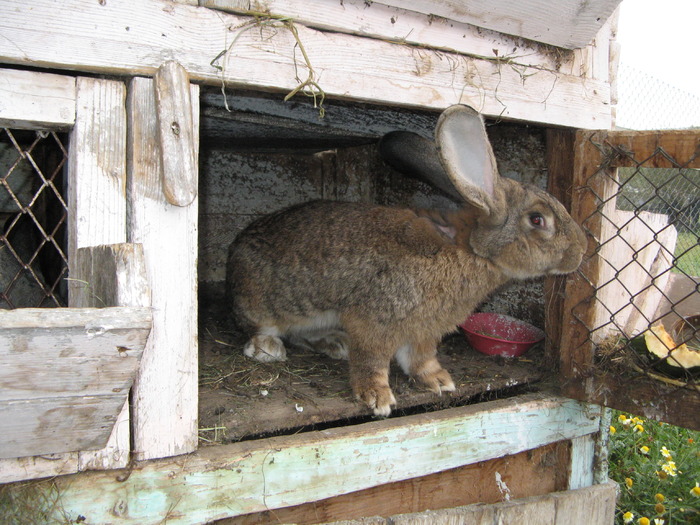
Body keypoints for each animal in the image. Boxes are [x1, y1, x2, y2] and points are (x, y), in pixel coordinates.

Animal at [226, 104, 584, 416]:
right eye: (537, 220)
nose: (580, 252)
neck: (468, 250)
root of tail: (233, 258)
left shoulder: (424, 332)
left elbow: (420, 359)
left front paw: (439, 381)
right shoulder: (374, 322)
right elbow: (371, 361)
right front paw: (377, 398)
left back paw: (335, 344)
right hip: (265, 304)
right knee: (265, 329)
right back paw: (268, 348)